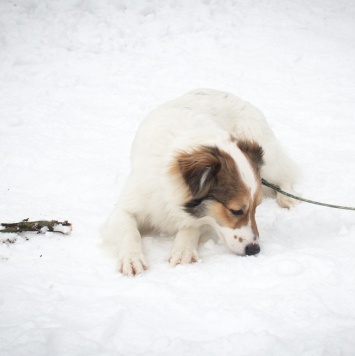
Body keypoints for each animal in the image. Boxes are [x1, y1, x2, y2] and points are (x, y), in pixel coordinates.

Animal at [103, 89, 300, 276]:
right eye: (236, 211)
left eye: (256, 208)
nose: (254, 249)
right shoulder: (125, 208)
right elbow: (130, 232)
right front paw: (131, 258)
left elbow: (193, 226)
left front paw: (183, 249)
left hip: (267, 157)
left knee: (285, 176)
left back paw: (287, 197)